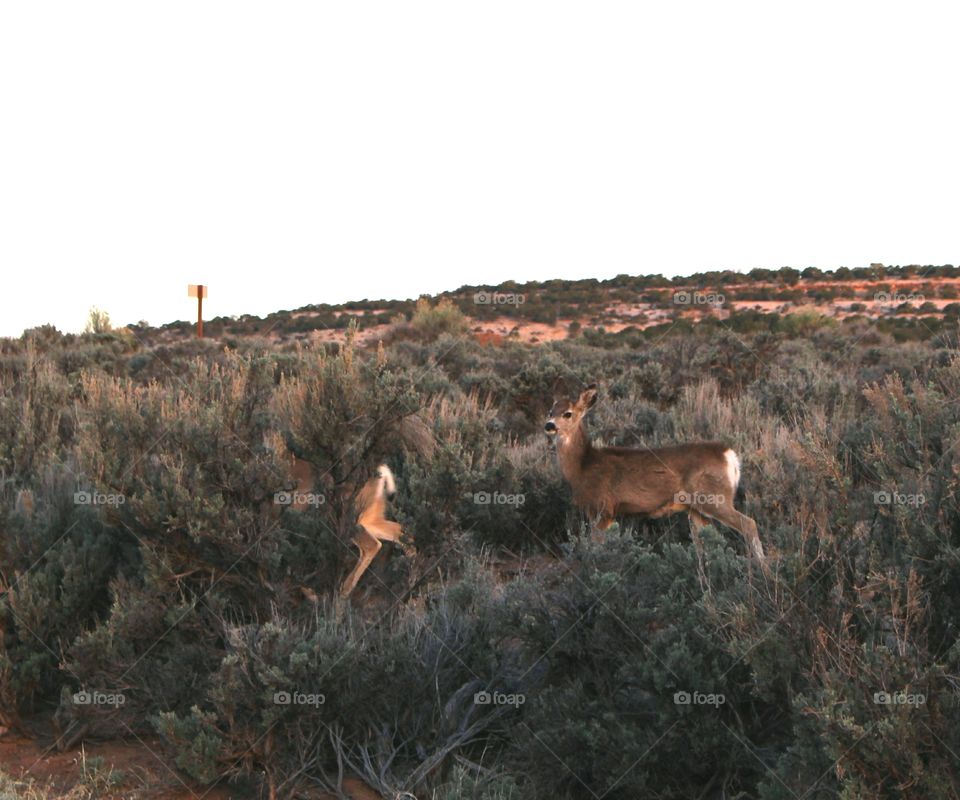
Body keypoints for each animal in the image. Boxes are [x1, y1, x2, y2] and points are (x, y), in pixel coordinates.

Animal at [548, 384, 764, 564]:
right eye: (550, 411)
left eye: (568, 413)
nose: (549, 425)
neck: (582, 466)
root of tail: (730, 455)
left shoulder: (602, 508)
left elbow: (597, 548)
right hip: (696, 508)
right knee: (704, 541)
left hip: (714, 497)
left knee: (749, 523)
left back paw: (763, 570)